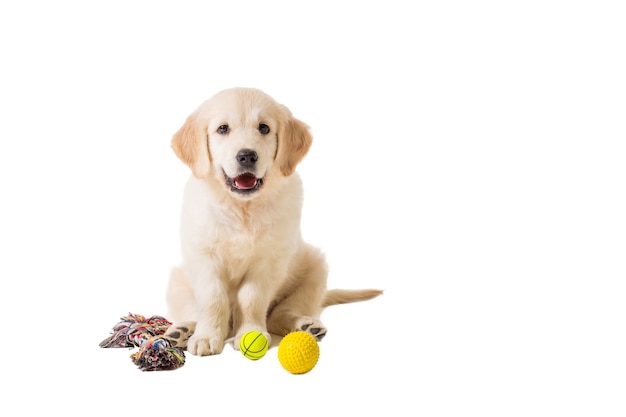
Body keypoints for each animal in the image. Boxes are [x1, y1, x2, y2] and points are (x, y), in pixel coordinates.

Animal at [165, 88, 380, 354]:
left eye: (264, 128)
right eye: (223, 129)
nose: (247, 156)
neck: (243, 208)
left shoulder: (269, 261)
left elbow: (251, 298)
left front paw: (251, 332)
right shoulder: (204, 257)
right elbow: (213, 298)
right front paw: (207, 337)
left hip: (315, 268)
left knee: (281, 314)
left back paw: (306, 325)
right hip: (177, 281)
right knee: (193, 311)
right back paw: (183, 331)